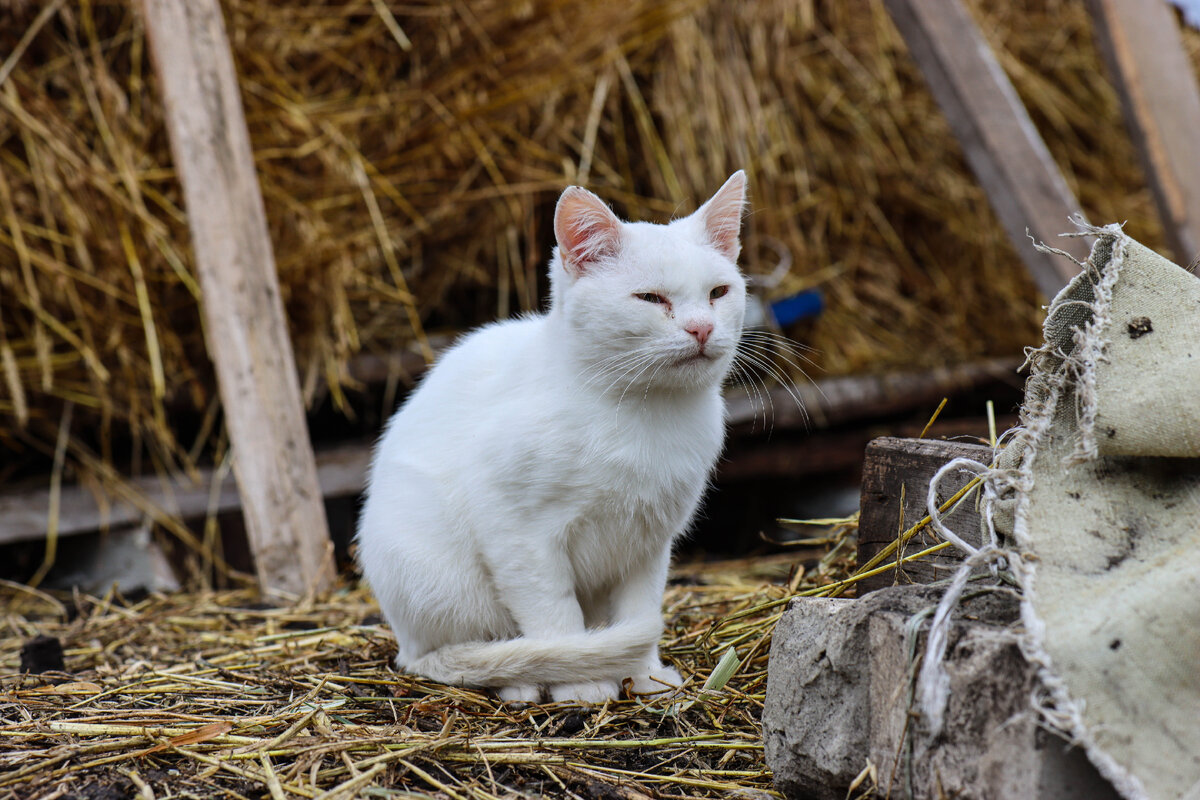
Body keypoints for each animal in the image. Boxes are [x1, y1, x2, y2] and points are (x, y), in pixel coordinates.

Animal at [355, 172, 748, 705]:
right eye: (650, 299)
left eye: (718, 292)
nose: (702, 327)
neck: (643, 413)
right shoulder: (516, 531)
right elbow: (554, 610)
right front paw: (580, 682)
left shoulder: (650, 539)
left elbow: (639, 607)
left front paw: (642, 673)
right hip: (433, 574)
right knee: (447, 653)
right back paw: (516, 676)